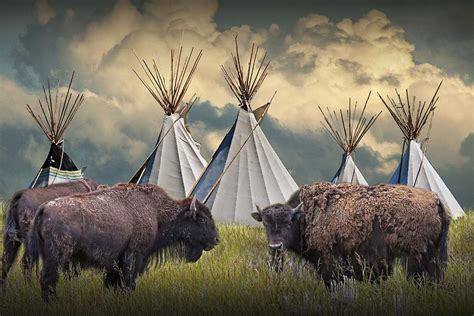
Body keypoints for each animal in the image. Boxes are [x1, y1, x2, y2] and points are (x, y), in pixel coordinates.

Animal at [26, 183, 218, 302]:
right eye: (202, 220)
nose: (216, 240)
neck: (157, 213)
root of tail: (44, 208)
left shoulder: (115, 263)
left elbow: (113, 284)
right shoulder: (134, 255)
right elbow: (128, 283)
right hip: (57, 257)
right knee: (48, 279)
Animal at [250, 181, 450, 286]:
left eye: (289, 222)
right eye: (265, 223)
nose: (275, 246)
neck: (305, 215)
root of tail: (435, 200)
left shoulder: (329, 263)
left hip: (417, 259)